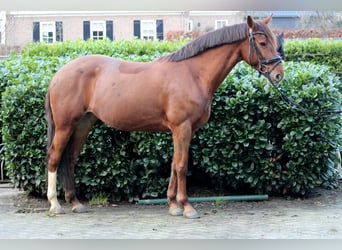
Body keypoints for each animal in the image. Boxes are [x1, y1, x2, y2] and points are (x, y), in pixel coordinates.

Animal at [45, 16, 284, 219]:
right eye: (262, 43)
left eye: (275, 41)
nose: (278, 74)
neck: (192, 73)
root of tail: (58, 74)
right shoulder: (182, 128)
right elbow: (182, 166)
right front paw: (187, 207)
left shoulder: (184, 130)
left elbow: (173, 164)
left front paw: (172, 205)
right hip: (65, 126)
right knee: (54, 158)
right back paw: (55, 204)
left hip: (83, 125)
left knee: (70, 159)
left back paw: (75, 202)